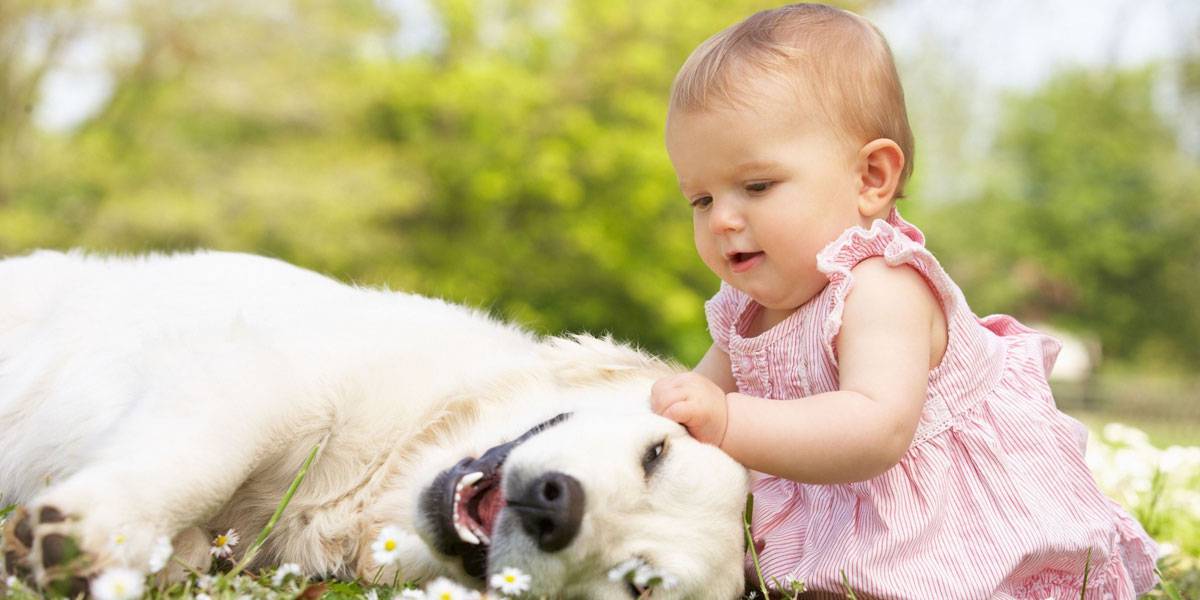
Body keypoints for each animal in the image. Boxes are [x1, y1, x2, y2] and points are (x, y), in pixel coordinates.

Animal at [0, 250, 748, 597]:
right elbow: (200, 461)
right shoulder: (263, 376)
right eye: (657, 453)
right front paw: (91, 530)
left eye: (637, 583)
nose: (553, 508)